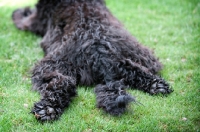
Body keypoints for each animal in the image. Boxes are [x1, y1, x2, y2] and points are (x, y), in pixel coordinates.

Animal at [11, 0, 173, 121]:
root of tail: (101, 55)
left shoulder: (34, 21)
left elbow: (21, 19)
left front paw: (19, 11)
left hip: (50, 66)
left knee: (63, 83)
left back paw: (48, 109)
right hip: (140, 54)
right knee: (137, 70)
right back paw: (157, 85)